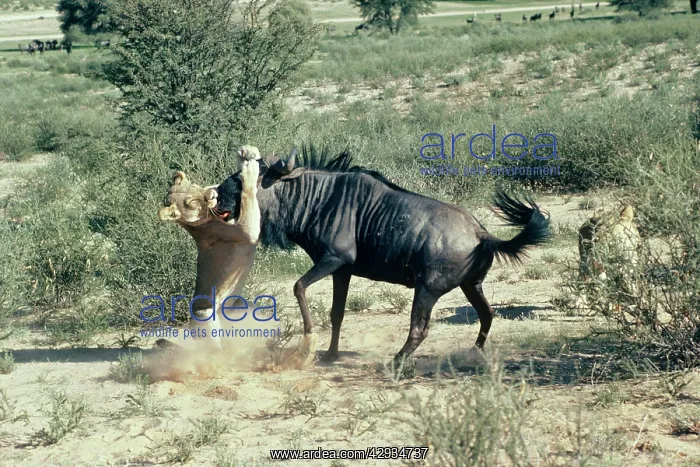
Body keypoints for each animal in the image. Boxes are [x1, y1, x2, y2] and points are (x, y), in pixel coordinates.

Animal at [156, 146, 262, 349]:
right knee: (215, 350)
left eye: (195, 188)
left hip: (241, 305)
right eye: (191, 204)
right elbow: (247, 197)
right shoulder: (246, 230)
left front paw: (248, 152)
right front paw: (249, 170)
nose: (212, 195)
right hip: (203, 315)